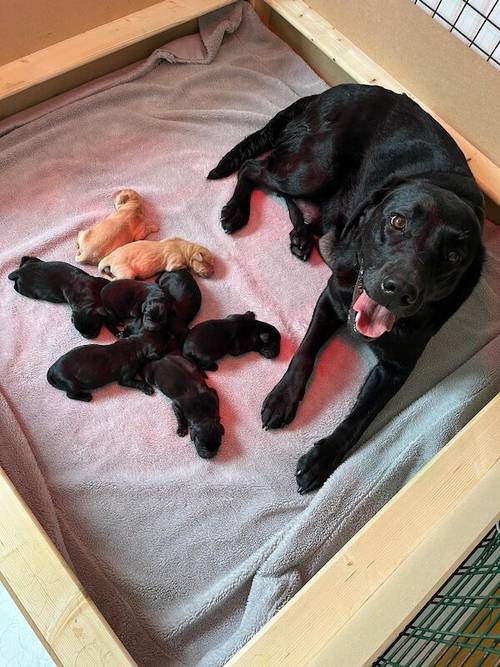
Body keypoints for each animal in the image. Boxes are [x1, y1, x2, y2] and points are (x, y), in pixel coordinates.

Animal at [208, 83, 484, 494]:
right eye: (397, 221)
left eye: (453, 255)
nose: (397, 290)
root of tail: (330, 92)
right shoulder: (332, 298)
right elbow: (305, 351)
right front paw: (283, 398)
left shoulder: (397, 367)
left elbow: (360, 419)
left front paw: (322, 458)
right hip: (315, 168)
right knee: (254, 169)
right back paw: (238, 210)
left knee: (302, 205)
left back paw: (302, 236)